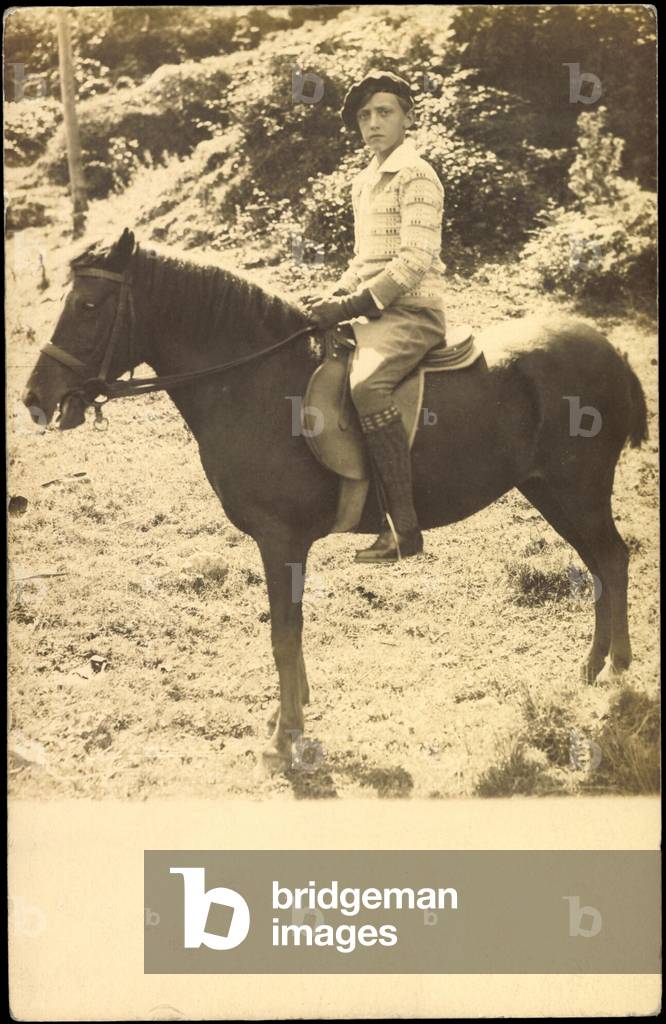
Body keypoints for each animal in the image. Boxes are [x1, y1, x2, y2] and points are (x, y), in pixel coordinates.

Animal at [22, 228, 648, 772]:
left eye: (88, 306)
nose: (35, 397)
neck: (255, 381)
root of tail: (611, 350)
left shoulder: (280, 540)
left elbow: (283, 634)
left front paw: (285, 738)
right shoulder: (284, 544)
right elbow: (290, 632)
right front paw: (290, 715)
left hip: (578, 491)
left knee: (612, 561)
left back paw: (616, 671)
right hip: (550, 492)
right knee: (598, 567)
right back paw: (592, 668)